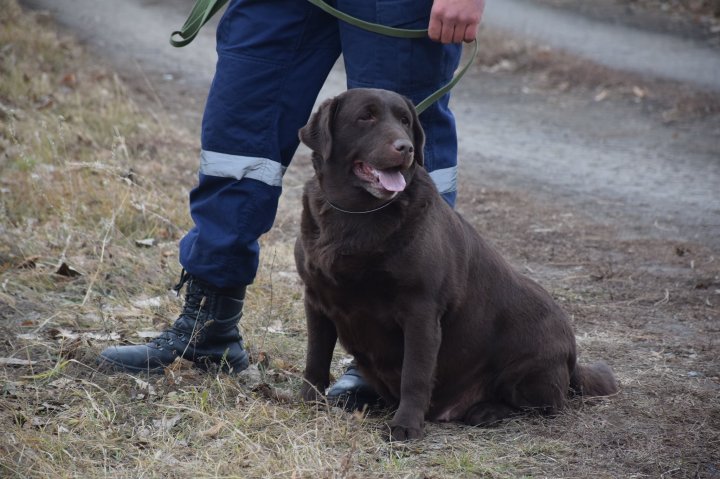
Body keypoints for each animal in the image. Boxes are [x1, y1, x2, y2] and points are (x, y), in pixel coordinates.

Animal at [294, 88, 620, 440]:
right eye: (365, 117)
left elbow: (415, 375)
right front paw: (308, 402)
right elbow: (315, 357)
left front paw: (405, 426)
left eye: (405, 121)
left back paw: (487, 411)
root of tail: (573, 355)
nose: (406, 148)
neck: (356, 214)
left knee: (547, 405)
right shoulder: (316, 300)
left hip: (526, 371)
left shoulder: (421, 311)